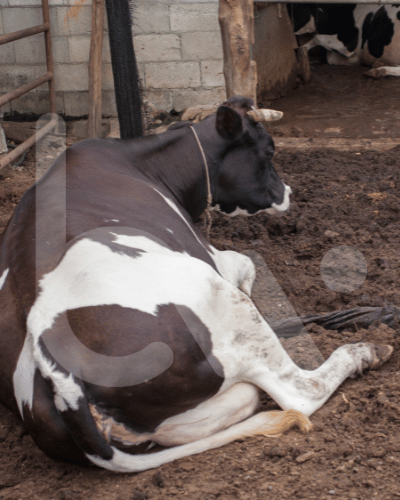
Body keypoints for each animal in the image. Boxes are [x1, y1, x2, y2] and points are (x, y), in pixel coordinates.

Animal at [0, 94, 390, 472]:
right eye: (269, 151)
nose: (288, 193)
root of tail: (55, 366)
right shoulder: (220, 260)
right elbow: (249, 266)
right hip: (221, 300)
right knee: (301, 391)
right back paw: (363, 351)